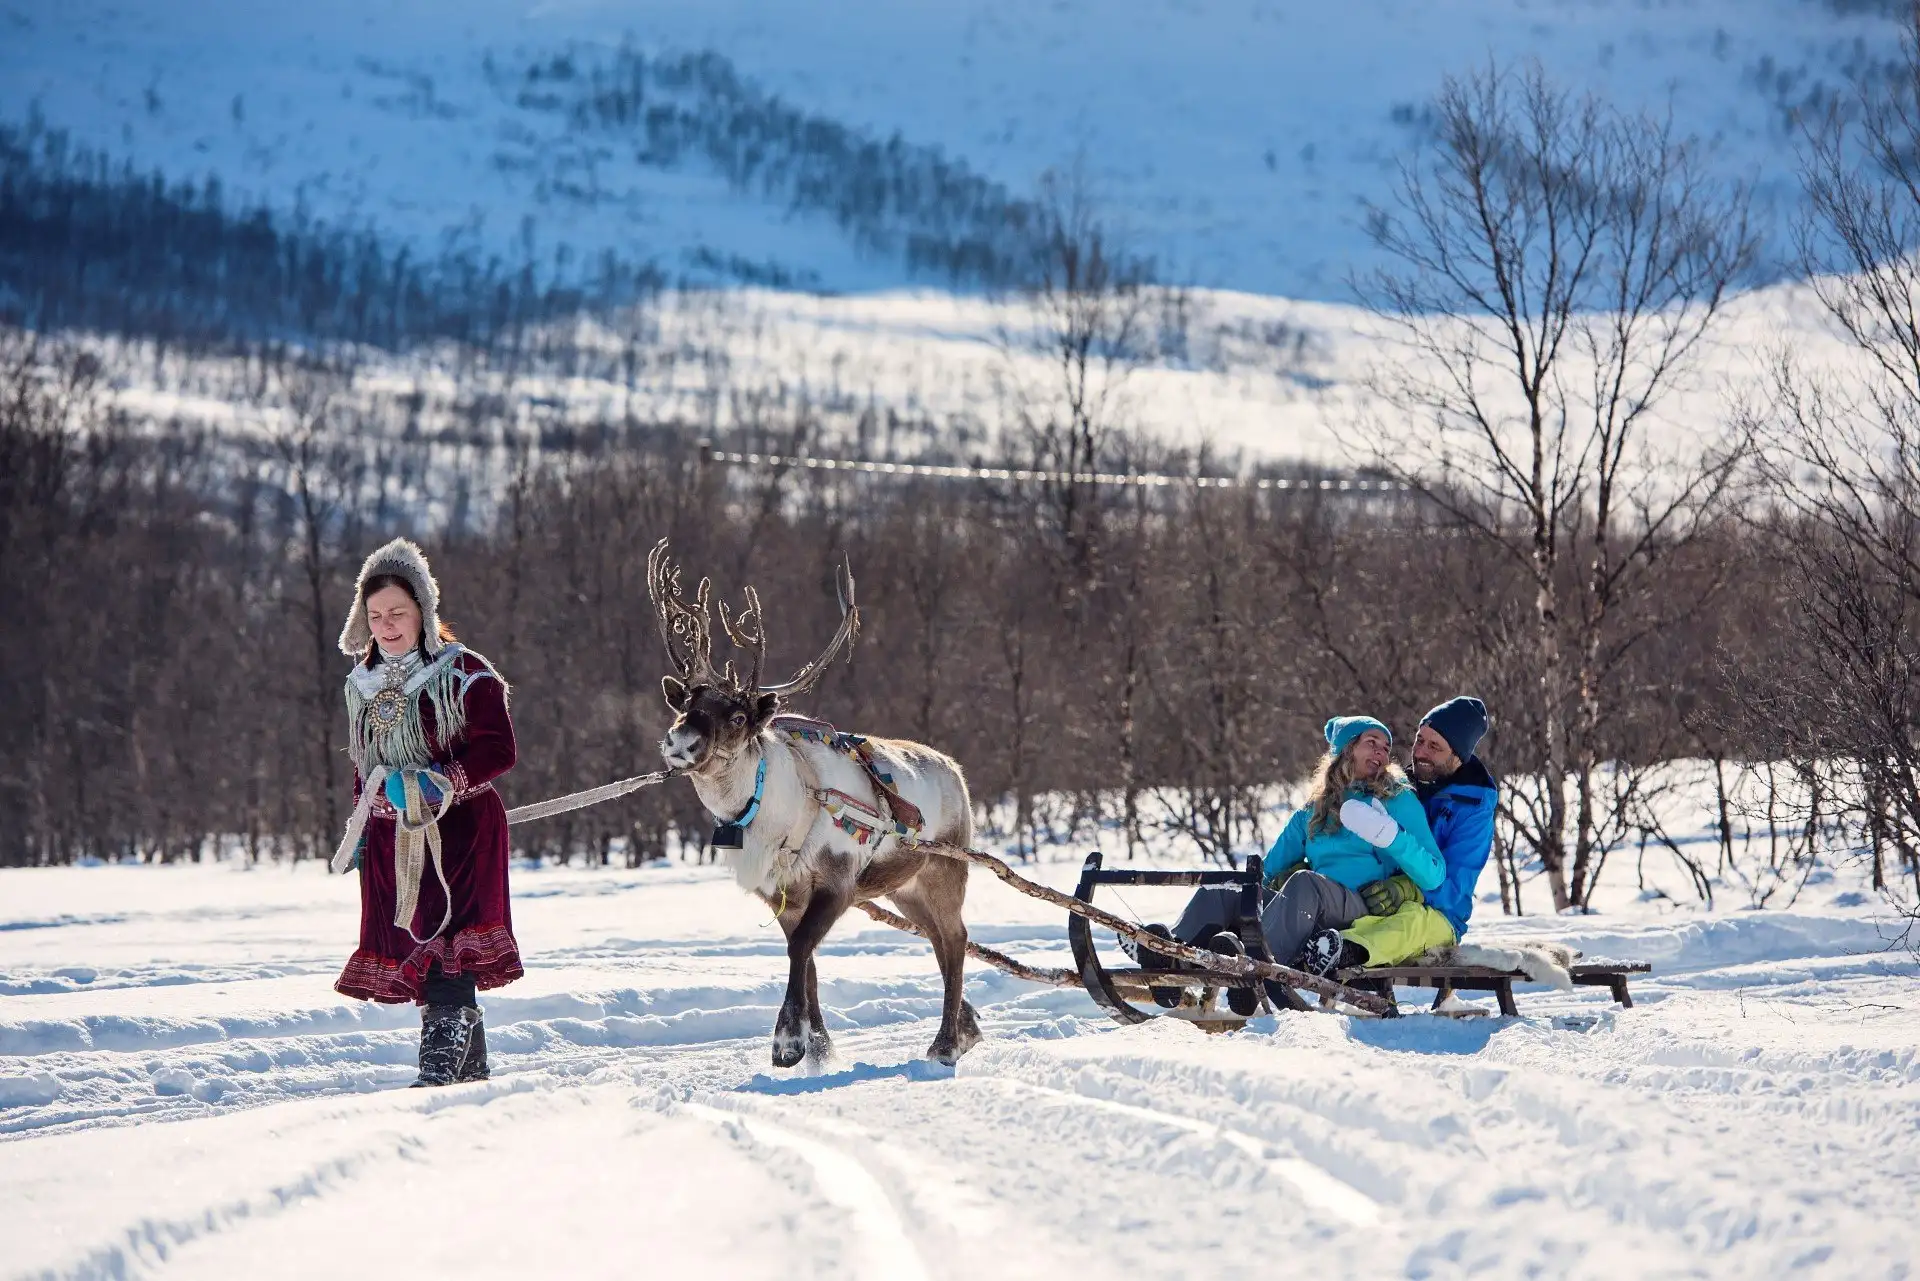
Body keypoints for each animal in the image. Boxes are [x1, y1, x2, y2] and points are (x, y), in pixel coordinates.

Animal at [647, 540, 982, 1069]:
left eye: (738, 716)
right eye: (686, 705)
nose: (680, 741)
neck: (774, 813)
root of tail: (955, 771)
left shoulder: (837, 882)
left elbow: (802, 948)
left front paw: (788, 1041)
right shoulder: (780, 895)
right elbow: (804, 960)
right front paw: (819, 1047)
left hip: (944, 870)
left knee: (955, 939)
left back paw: (946, 1044)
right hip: (904, 888)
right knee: (939, 939)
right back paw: (967, 1027)